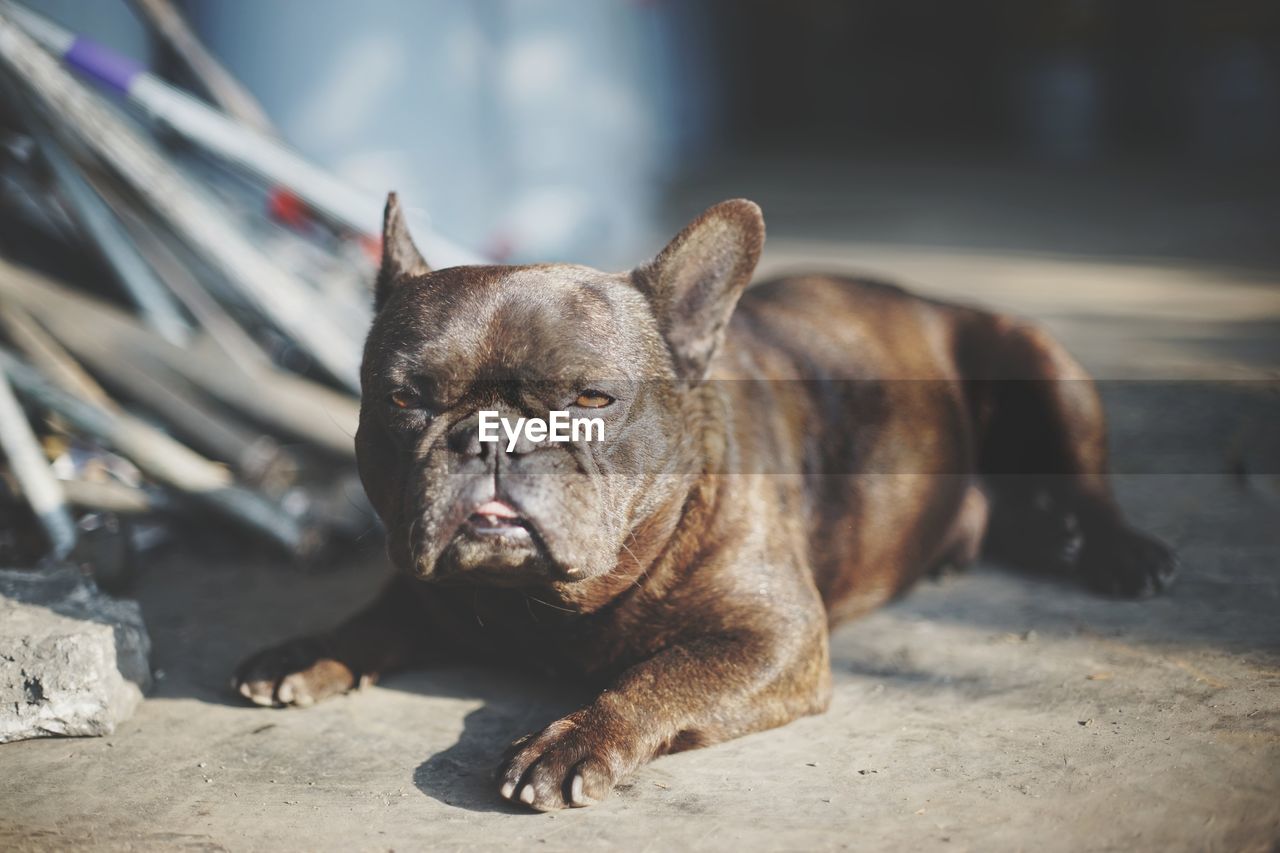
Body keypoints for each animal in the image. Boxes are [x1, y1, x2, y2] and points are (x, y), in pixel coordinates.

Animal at [235, 194, 1172, 809]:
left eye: (590, 399)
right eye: (405, 399)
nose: (492, 435)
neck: (546, 605)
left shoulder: (774, 634)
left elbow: (658, 675)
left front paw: (575, 736)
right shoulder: (427, 581)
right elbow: (377, 615)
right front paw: (313, 648)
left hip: (1042, 365)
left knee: (1088, 483)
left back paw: (1119, 551)